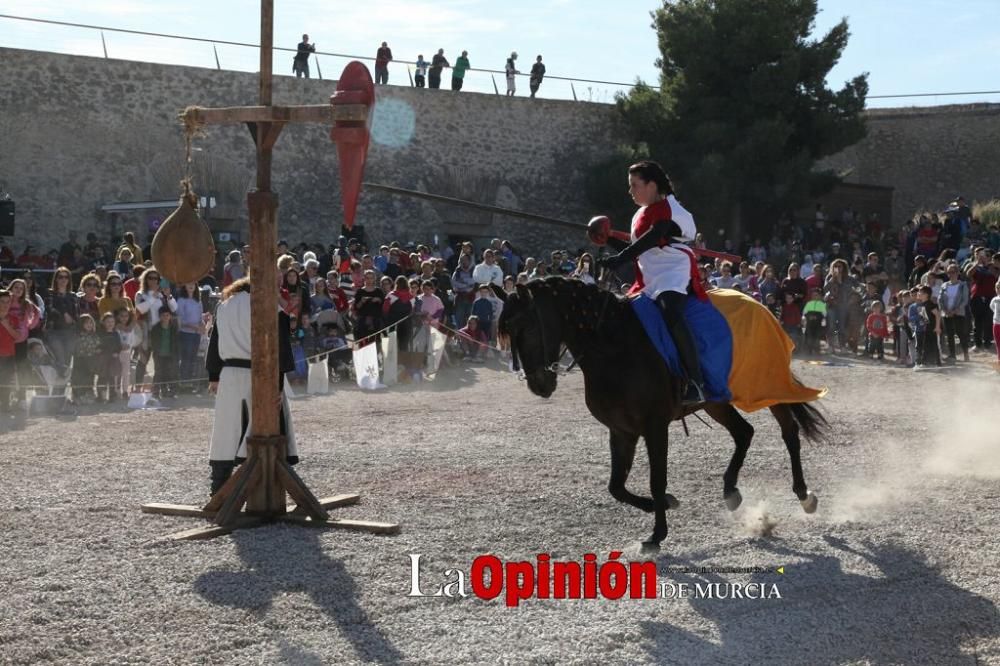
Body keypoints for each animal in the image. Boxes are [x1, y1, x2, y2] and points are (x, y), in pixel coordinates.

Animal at [494, 278, 828, 548]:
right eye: (507, 332)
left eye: (527, 327)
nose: (538, 384)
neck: (614, 346)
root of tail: (759, 305)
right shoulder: (621, 430)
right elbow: (616, 487)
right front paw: (664, 504)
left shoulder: (655, 427)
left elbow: (657, 480)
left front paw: (657, 534)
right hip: (716, 400)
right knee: (744, 433)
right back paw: (731, 491)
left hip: (768, 386)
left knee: (789, 433)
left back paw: (804, 494)